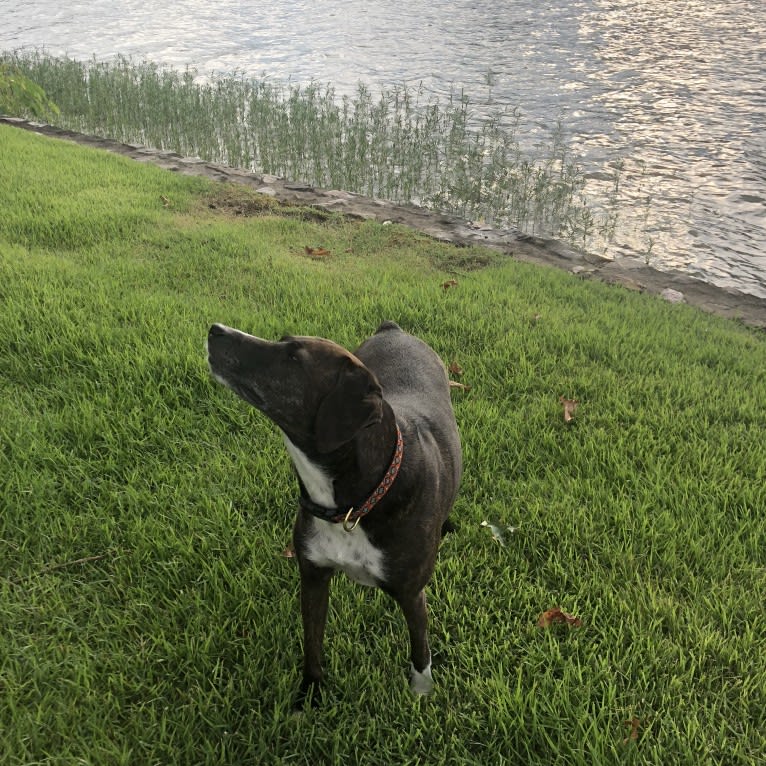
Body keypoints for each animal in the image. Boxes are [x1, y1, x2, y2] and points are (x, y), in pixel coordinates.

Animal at [206, 320, 462, 708]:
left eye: (293, 358)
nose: (216, 329)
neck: (353, 505)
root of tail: (394, 328)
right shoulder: (313, 576)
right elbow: (312, 644)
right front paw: (309, 697)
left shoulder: (411, 594)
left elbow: (420, 650)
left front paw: (421, 695)